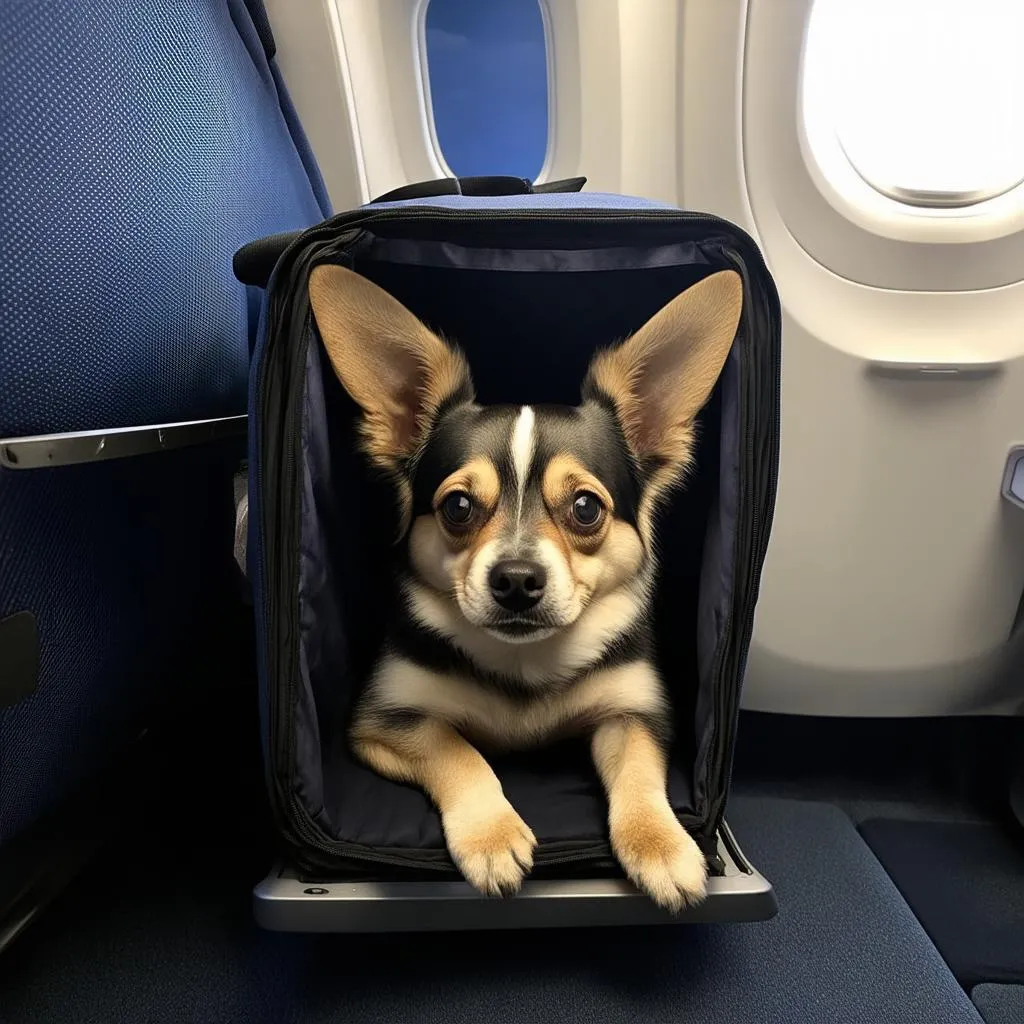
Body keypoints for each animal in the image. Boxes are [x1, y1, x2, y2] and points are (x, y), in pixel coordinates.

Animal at [307, 264, 741, 913]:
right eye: (458, 507)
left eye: (586, 509)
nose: (515, 578)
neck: (526, 661)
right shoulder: (387, 720)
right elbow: (457, 750)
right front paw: (491, 836)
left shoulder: (631, 714)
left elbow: (639, 774)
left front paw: (661, 845)